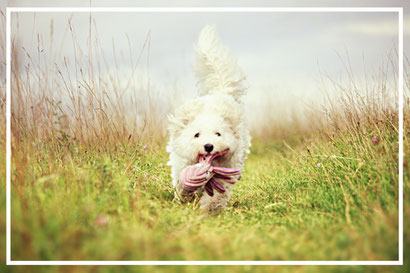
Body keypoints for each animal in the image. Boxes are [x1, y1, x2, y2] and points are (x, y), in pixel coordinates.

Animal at [166, 25, 250, 212]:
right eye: (196, 135)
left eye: (218, 134)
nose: (208, 146)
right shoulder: (182, 162)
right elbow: (182, 183)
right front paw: (184, 197)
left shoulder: (226, 169)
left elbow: (217, 193)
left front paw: (209, 209)